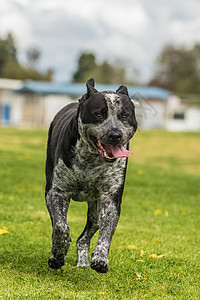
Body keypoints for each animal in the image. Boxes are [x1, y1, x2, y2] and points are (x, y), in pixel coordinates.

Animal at [45, 78, 138, 274]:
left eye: (124, 115)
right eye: (99, 114)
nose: (115, 134)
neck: (91, 159)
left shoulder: (110, 199)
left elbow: (106, 233)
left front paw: (101, 258)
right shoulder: (57, 192)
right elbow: (61, 226)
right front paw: (59, 251)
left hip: (95, 210)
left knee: (85, 236)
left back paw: (83, 261)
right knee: (56, 223)